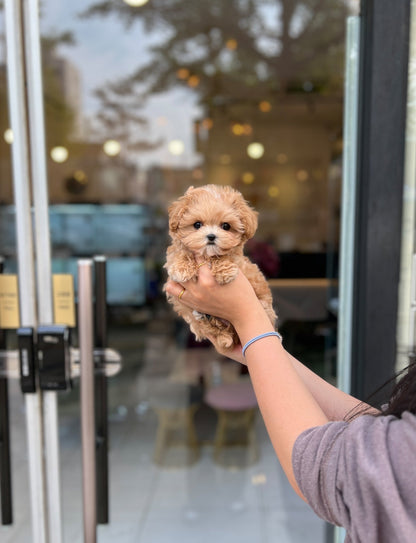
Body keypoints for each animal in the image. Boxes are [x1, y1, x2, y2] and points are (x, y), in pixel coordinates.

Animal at [164, 185, 278, 350]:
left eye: (226, 226)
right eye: (197, 225)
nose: (211, 236)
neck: (207, 255)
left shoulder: (239, 260)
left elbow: (225, 256)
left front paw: (225, 272)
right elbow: (181, 252)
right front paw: (181, 267)